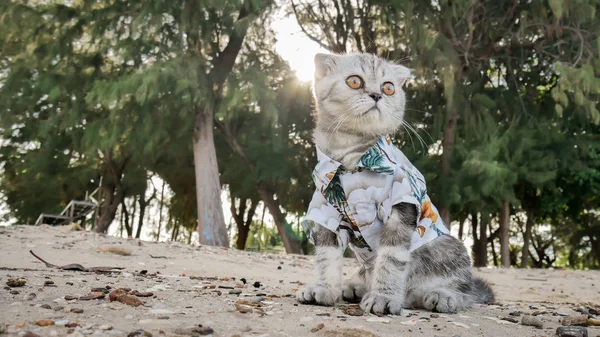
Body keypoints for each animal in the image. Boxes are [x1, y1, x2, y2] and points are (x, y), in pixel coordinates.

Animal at [298, 52, 494, 316]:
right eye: (354, 82)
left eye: (388, 87)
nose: (377, 95)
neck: (353, 156)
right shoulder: (326, 211)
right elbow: (325, 256)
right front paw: (324, 288)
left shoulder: (402, 204)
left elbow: (391, 258)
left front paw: (383, 296)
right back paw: (356, 286)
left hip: (448, 247)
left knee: (467, 291)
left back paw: (442, 295)